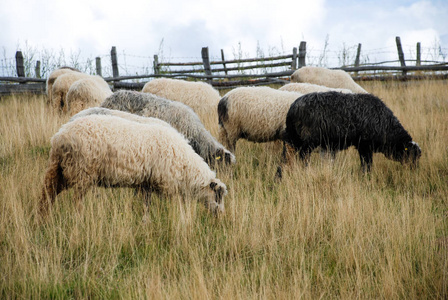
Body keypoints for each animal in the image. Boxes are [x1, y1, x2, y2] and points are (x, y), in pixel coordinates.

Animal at [39, 114, 228, 216]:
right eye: (218, 196)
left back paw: (44, 220)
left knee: (47, 195)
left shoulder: (146, 184)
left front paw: (145, 224)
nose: (220, 216)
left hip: (58, 169)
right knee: (75, 202)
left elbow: (146, 206)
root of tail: (59, 137)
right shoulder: (167, 186)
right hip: (81, 173)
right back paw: (78, 220)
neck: (186, 167)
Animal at [282, 90, 422, 172]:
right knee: (303, 158)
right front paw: (366, 177)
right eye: (411, 154)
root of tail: (293, 108)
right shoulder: (365, 145)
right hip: (307, 141)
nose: (415, 170)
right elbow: (367, 164)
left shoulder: (363, 146)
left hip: (293, 138)